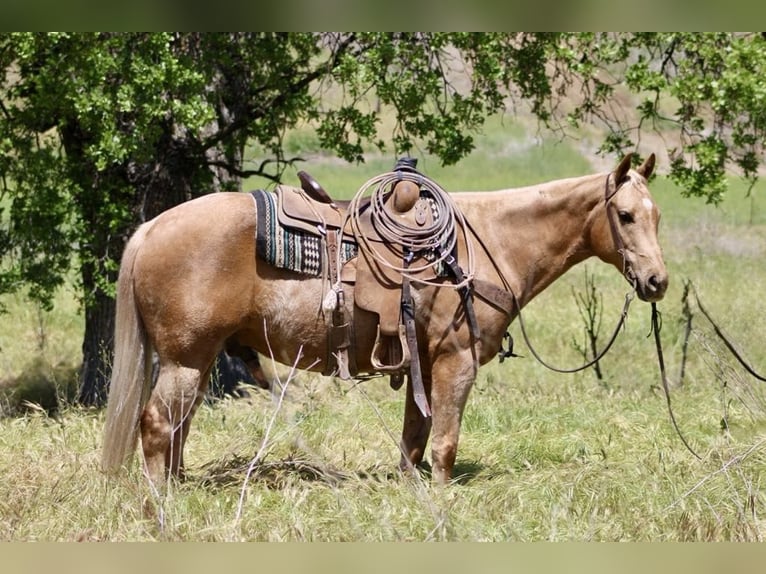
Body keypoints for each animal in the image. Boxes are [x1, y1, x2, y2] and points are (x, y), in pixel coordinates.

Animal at [101, 153, 667, 486]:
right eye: (625, 215)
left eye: (658, 215)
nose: (657, 281)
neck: (487, 243)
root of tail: (152, 227)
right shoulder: (456, 361)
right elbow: (444, 442)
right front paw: (442, 502)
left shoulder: (423, 363)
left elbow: (414, 439)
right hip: (186, 359)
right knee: (157, 424)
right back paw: (161, 505)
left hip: (195, 360)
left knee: (178, 425)